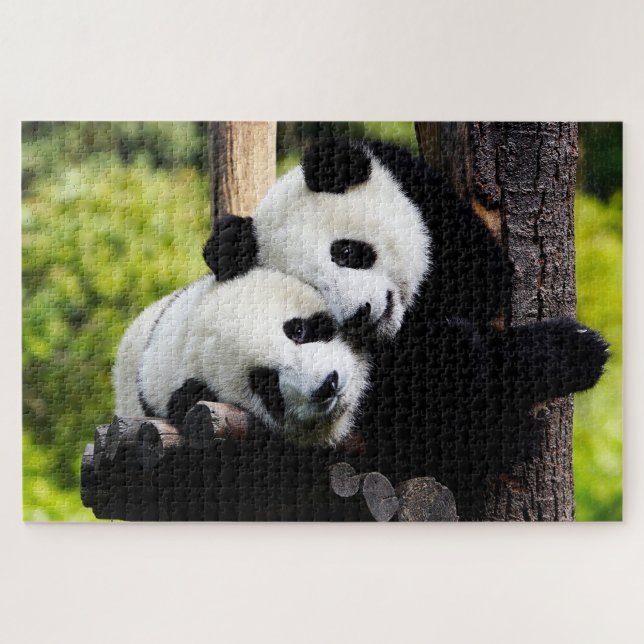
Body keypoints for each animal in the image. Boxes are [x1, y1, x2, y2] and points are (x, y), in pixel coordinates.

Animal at [203, 138, 609, 519]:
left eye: (345, 252)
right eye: (315, 290)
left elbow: (485, 276)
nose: (361, 314)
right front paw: (568, 352)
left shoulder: (427, 201)